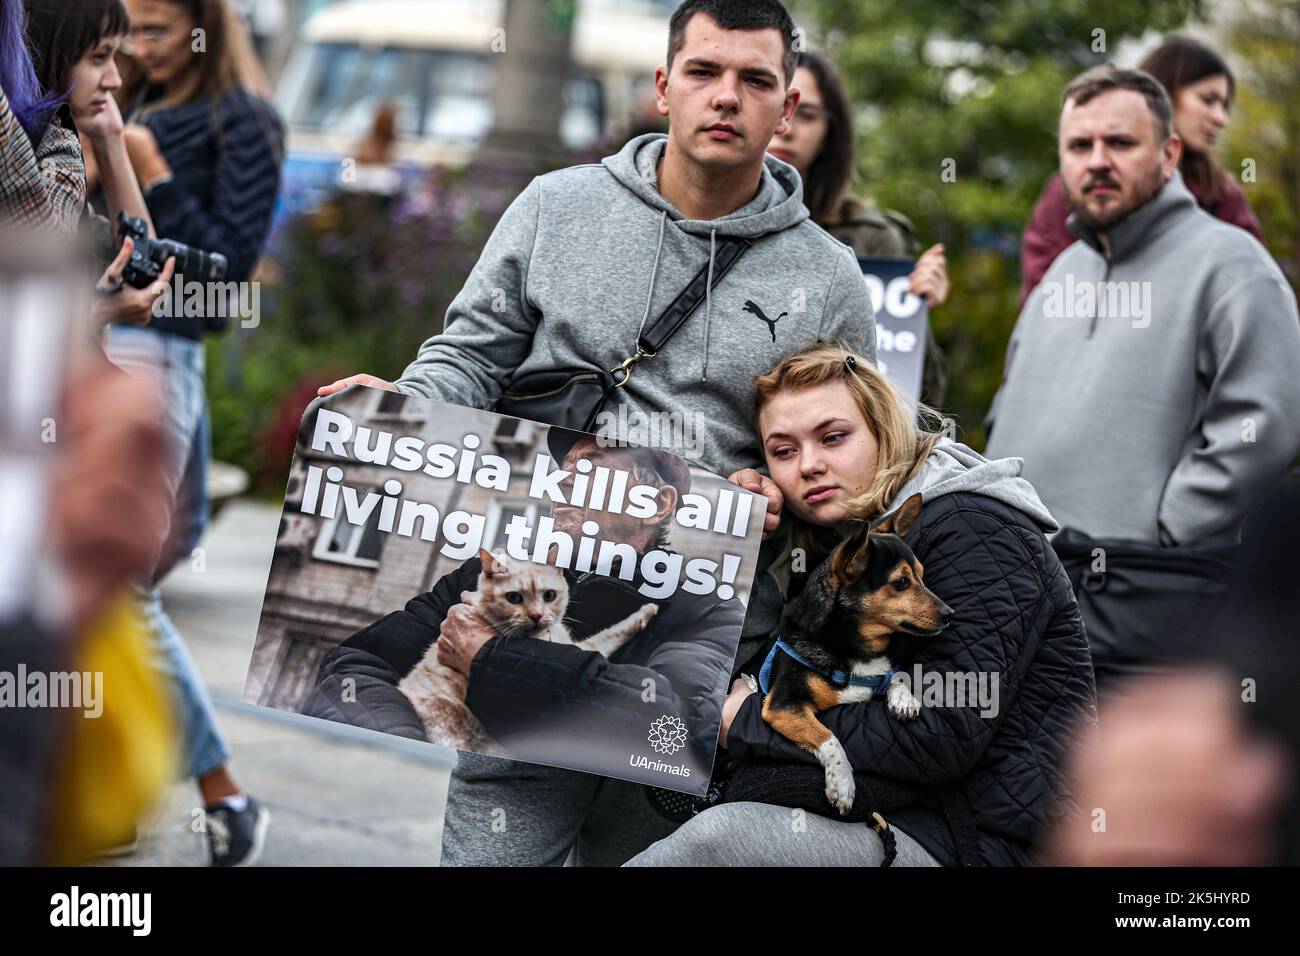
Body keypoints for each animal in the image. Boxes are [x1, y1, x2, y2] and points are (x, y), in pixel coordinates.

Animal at [754, 494, 956, 816]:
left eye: (923, 577)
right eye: (901, 582)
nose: (950, 614)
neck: (857, 649)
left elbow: (893, 673)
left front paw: (903, 698)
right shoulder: (782, 706)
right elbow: (828, 736)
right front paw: (842, 781)